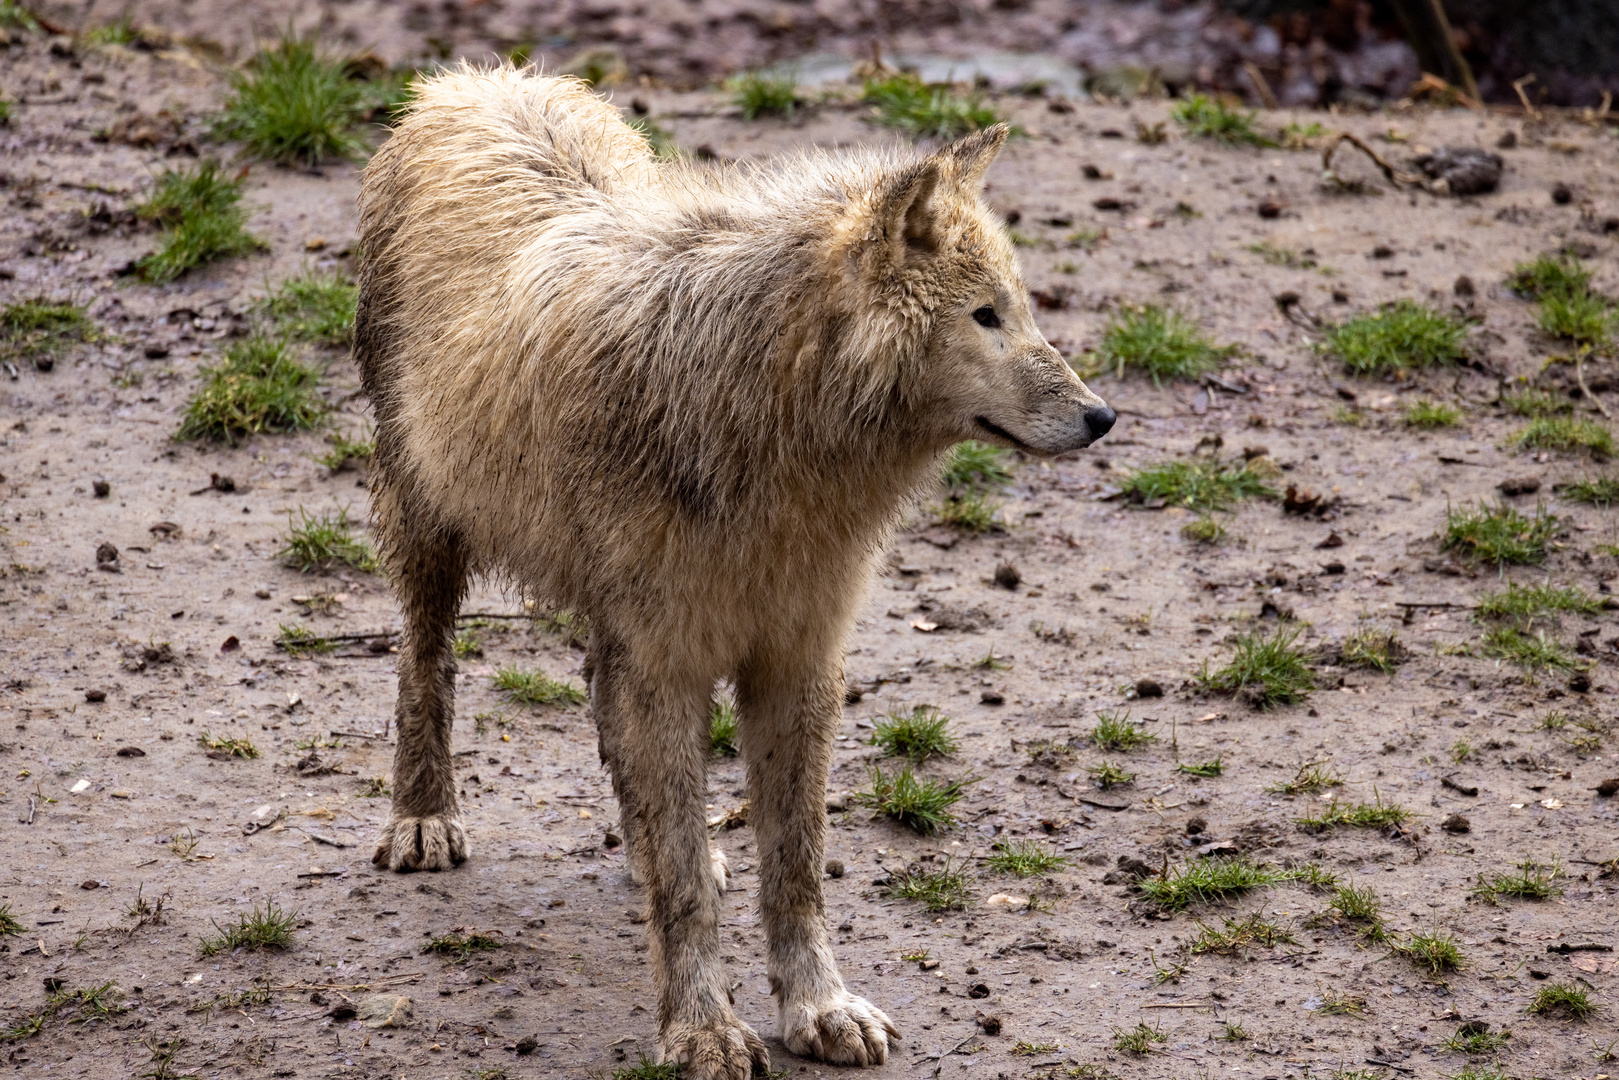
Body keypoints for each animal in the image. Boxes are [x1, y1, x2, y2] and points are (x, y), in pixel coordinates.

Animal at [354, 65, 1113, 1080]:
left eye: (1024, 308)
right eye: (985, 317)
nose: (1103, 417)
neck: (773, 422)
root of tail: (473, 79)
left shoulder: (797, 660)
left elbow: (793, 867)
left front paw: (820, 1009)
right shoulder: (668, 662)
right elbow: (686, 890)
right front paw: (702, 1029)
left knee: (601, 708)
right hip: (430, 526)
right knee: (422, 661)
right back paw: (422, 817)